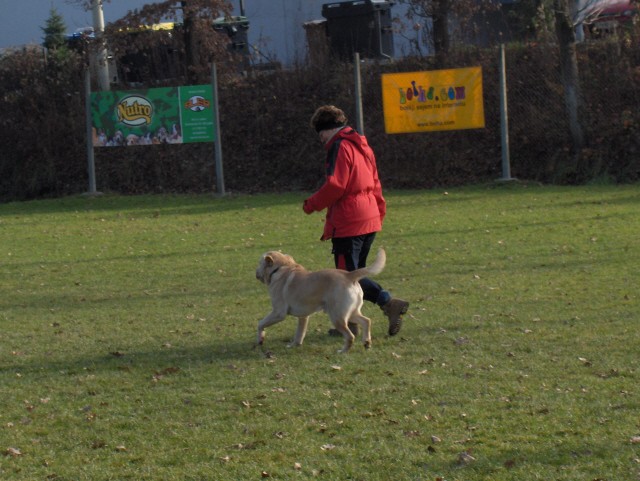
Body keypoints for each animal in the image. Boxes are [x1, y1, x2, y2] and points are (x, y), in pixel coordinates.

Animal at [255, 249, 384, 350]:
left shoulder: (278, 313)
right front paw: (295, 345)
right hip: (350, 313)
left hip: (337, 317)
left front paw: (260, 339)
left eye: (259, 263)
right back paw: (367, 342)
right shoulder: (303, 317)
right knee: (366, 321)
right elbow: (299, 333)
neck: (281, 268)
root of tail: (349, 275)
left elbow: (260, 324)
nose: (255, 272)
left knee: (350, 336)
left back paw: (342, 352)